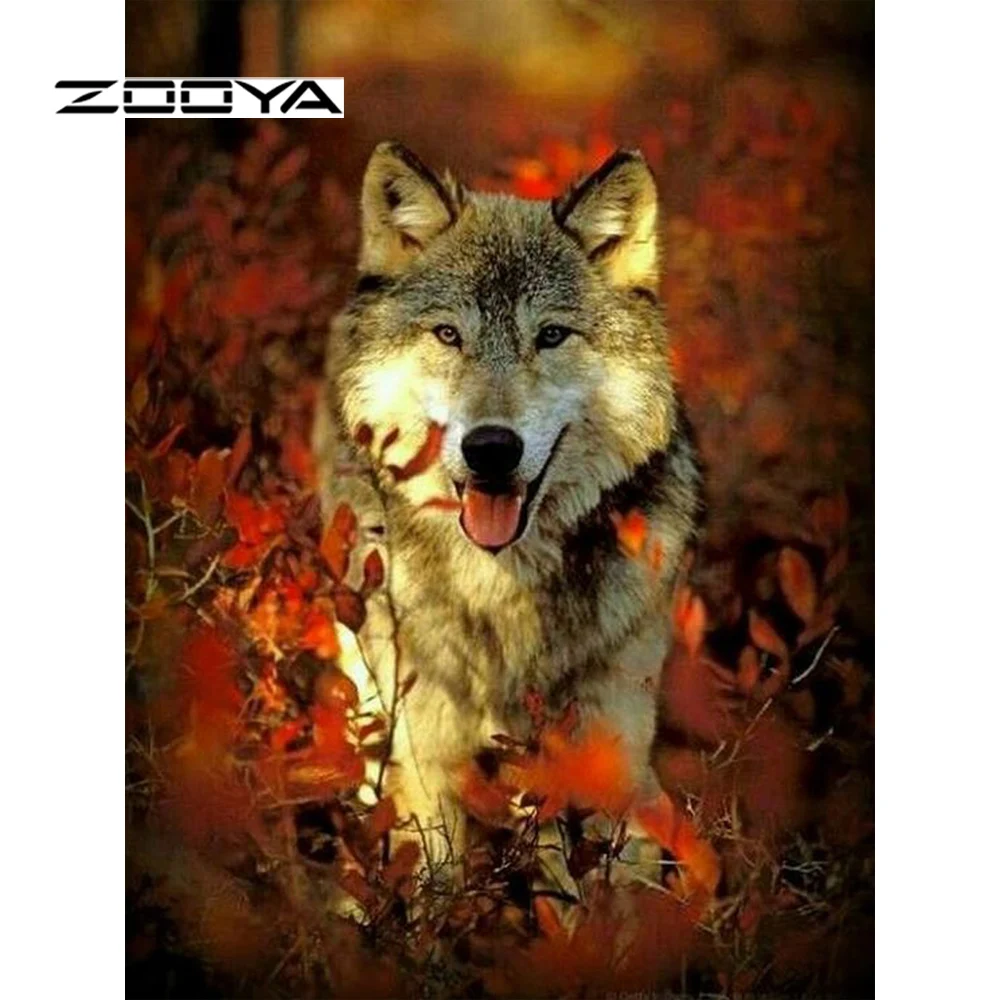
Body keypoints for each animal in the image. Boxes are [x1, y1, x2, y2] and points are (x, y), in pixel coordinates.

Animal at [314, 141, 702, 869]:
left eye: (549, 336)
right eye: (448, 335)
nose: (491, 448)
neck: (503, 588)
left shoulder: (614, 750)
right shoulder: (428, 761)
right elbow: (434, 881)